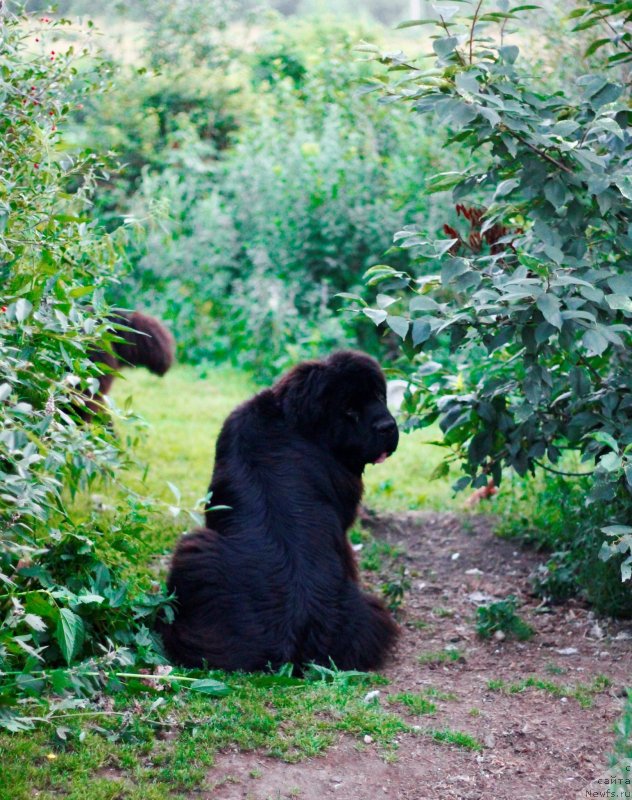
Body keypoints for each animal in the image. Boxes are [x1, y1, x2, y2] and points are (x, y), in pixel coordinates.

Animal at [163, 354, 400, 672]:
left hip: (194, 548)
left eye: (378, 396)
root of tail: (296, 629)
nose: (387, 426)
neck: (293, 421)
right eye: (350, 410)